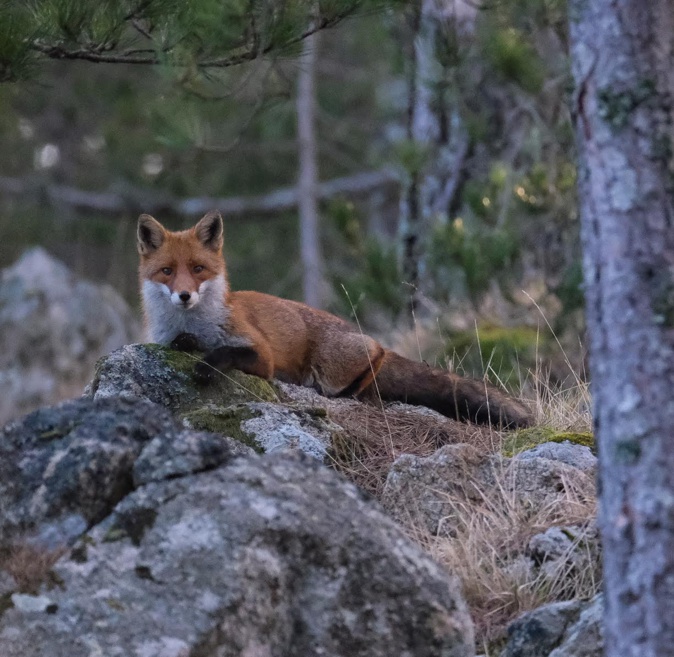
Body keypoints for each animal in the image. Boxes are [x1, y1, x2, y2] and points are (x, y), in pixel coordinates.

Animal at [137, 211, 532, 428]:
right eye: (167, 271)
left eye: (198, 269)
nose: (184, 296)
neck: (195, 322)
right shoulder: (170, 337)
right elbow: (184, 343)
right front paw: (190, 345)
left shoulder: (262, 355)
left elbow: (226, 353)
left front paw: (206, 365)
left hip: (336, 365)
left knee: (372, 364)